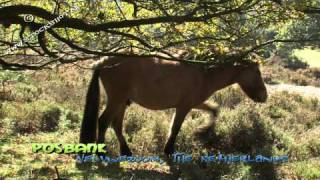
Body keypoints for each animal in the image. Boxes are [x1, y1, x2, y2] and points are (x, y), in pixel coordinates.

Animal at [80, 55, 268, 155]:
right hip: (116, 100)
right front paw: (169, 150)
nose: (264, 96)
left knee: (116, 125)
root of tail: (103, 61)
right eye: (257, 72)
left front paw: (202, 131)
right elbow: (175, 128)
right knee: (104, 122)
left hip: (122, 102)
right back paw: (102, 153)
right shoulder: (184, 107)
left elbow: (214, 110)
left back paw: (126, 151)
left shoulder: (195, 103)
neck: (204, 73)